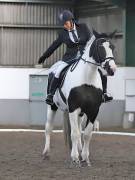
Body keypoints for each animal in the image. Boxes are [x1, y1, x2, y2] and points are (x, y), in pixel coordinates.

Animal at [42, 29, 117, 167]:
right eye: (100, 47)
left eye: (112, 47)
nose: (112, 69)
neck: (87, 79)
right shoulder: (73, 108)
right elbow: (75, 133)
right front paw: (75, 158)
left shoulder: (93, 111)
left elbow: (86, 134)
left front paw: (85, 158)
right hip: (52, 106)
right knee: (48, 128)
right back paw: (46, 153)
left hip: (81, 113)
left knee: (78, 128)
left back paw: (80, 149)